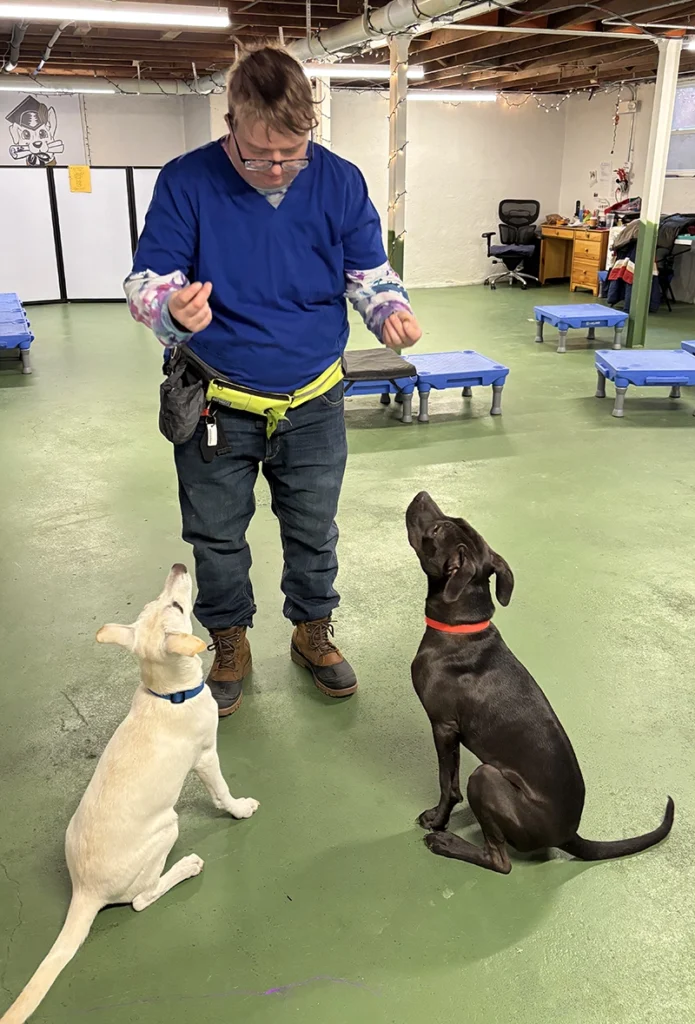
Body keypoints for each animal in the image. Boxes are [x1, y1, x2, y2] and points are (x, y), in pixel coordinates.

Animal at [407, 489, 675, 872]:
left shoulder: (443, 726)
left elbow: (448, 785)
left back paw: (448, 843)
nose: (421, 494)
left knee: (500, 860)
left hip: (486, 777)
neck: (461, 628)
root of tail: (568, 834)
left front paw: (437, 820)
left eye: (437, 530)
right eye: (450, 520)